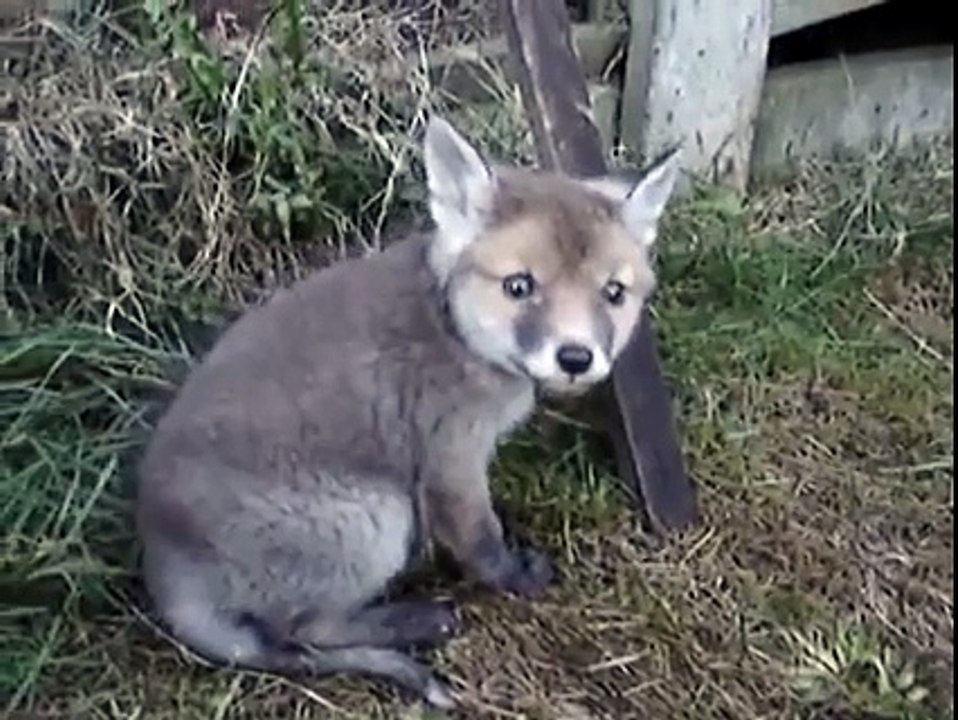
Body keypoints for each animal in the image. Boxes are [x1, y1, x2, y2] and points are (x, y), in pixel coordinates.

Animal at [134, 115, 681, 709]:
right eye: (519, 286)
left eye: (613, 293)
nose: (576, 358)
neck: (452, 327)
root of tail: (165, 573)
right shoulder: (450, 456)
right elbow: (480, 540)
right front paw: (515, 577)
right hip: (375, 515)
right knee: (306, 630)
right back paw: (418, 620)